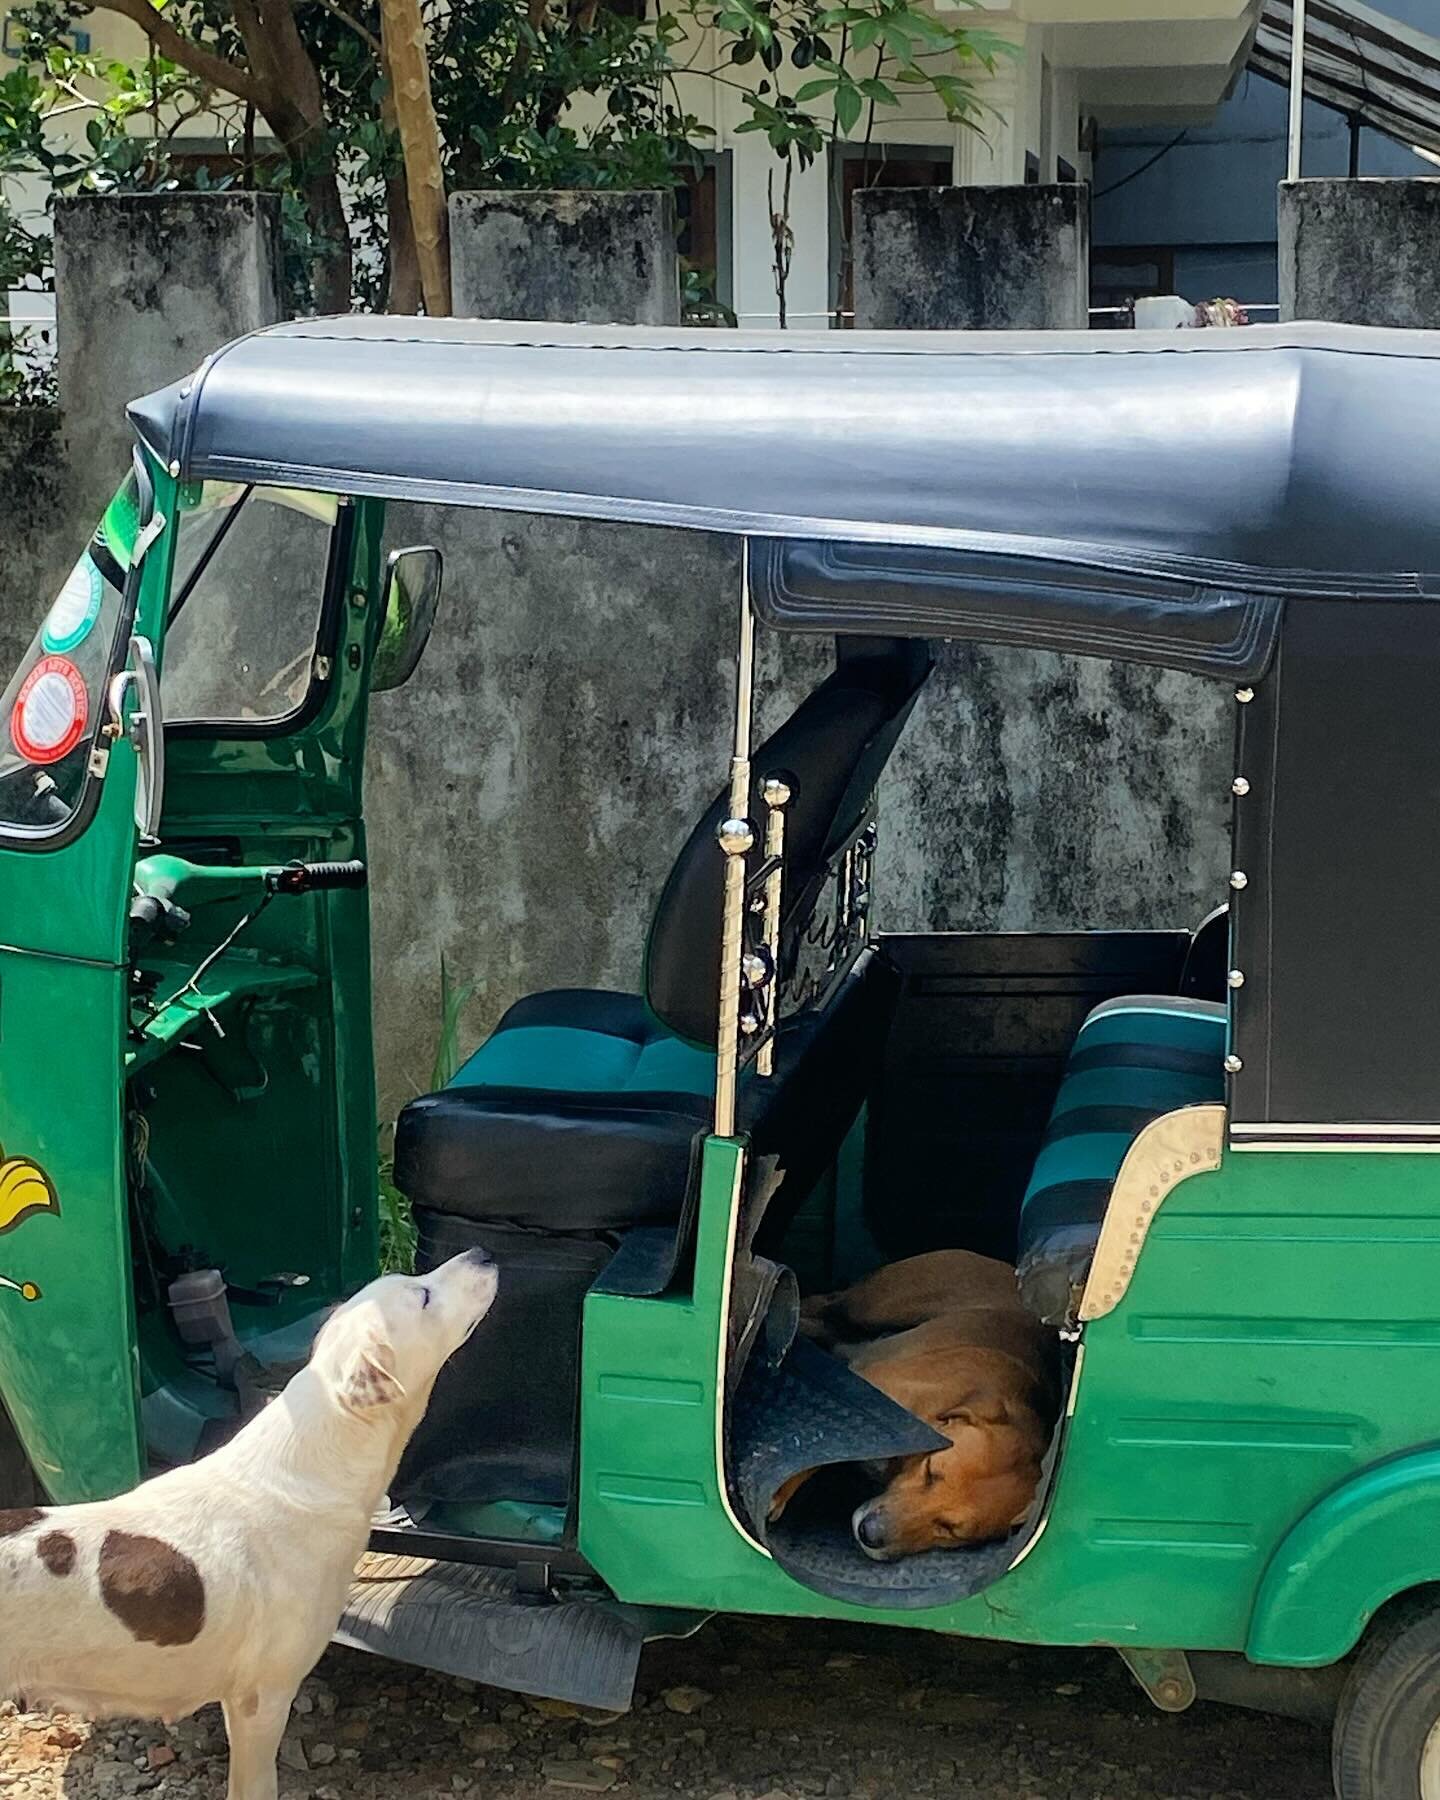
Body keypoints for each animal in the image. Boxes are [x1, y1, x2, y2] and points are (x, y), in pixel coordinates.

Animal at [763, 1252, 1058, 1562]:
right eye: (931, 1471)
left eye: (950, 1530)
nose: (870, 1533)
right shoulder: (867, 1390)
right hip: (873, 1305)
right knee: (823, 1303)